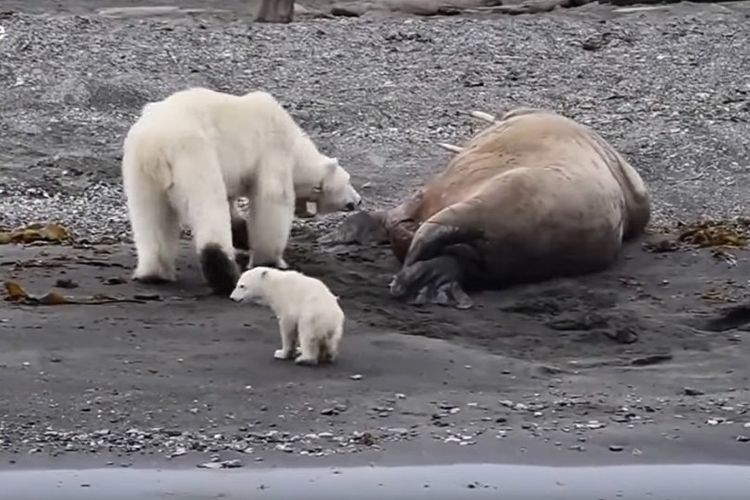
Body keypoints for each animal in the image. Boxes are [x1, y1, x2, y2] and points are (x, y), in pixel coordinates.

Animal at [123, 87, 364, 294]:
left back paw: (154, 274)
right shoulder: (272, 149)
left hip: (139, 171)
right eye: (349, 181)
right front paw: (270, 260)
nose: (359, 200)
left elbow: (232, 210)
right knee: (208, 208)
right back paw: (225, 278)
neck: (296, 147)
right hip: (193, 155)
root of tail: (155, 148)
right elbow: (272, 200)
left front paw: (244, 236)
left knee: (150, 218)